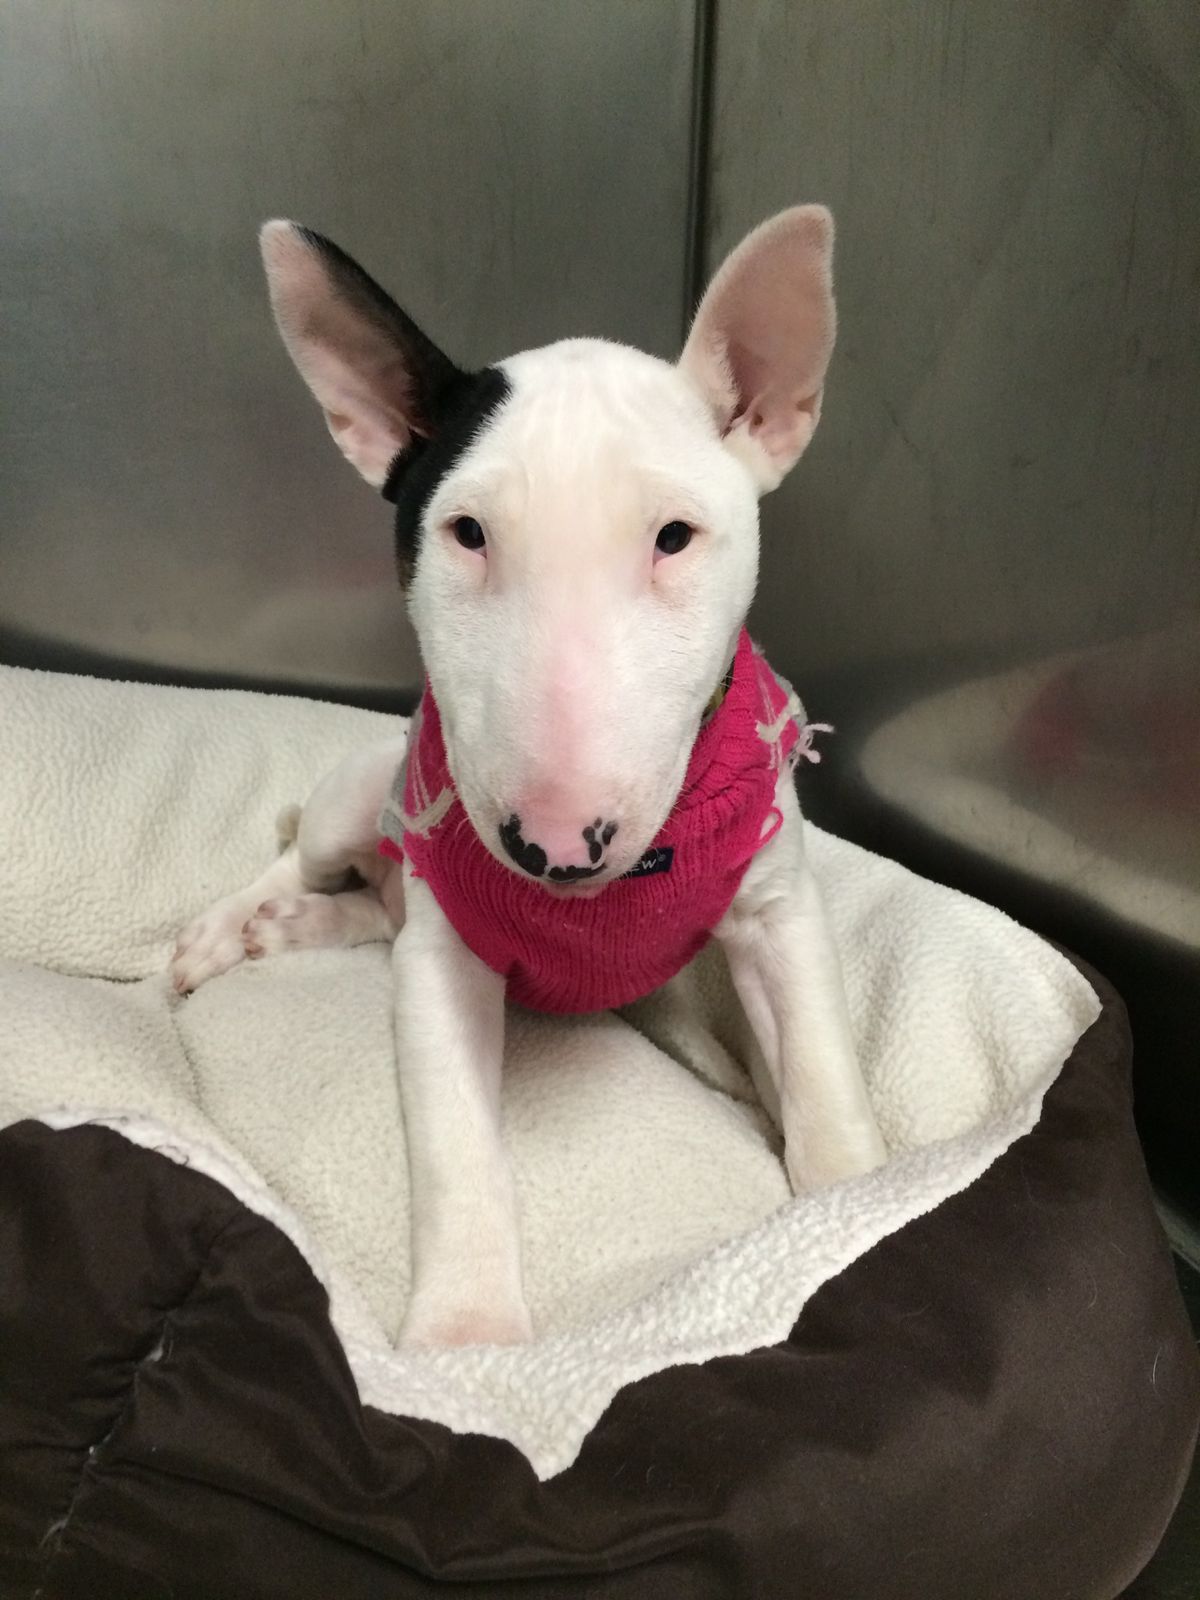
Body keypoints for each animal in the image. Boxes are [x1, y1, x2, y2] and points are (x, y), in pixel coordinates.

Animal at [171, 207, 887, 1346]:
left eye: (674, 536)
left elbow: (821, 1073)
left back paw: (292, 930)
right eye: (466, 531)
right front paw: (469, 1341)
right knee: (306, 861)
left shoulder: (777, 907)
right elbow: (460, 1146)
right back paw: (230, 927)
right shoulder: (445, 952)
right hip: (359, 798)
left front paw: (864, 1211)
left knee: (369, 912)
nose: (552, 847)